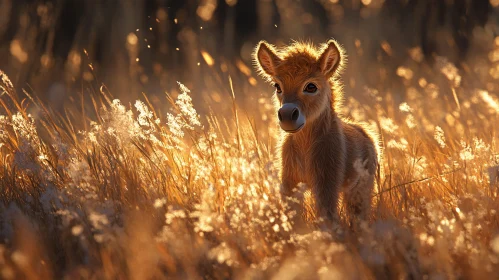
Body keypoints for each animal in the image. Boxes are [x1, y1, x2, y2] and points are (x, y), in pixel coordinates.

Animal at [254, 39, 378, 228]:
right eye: (277, 86)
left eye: (311, 86)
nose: (287, 116)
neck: (305, 147)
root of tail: (366, 134)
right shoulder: (290, 182)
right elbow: (294, 217)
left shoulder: (326, 183)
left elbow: (327, 218)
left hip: (360, 189)